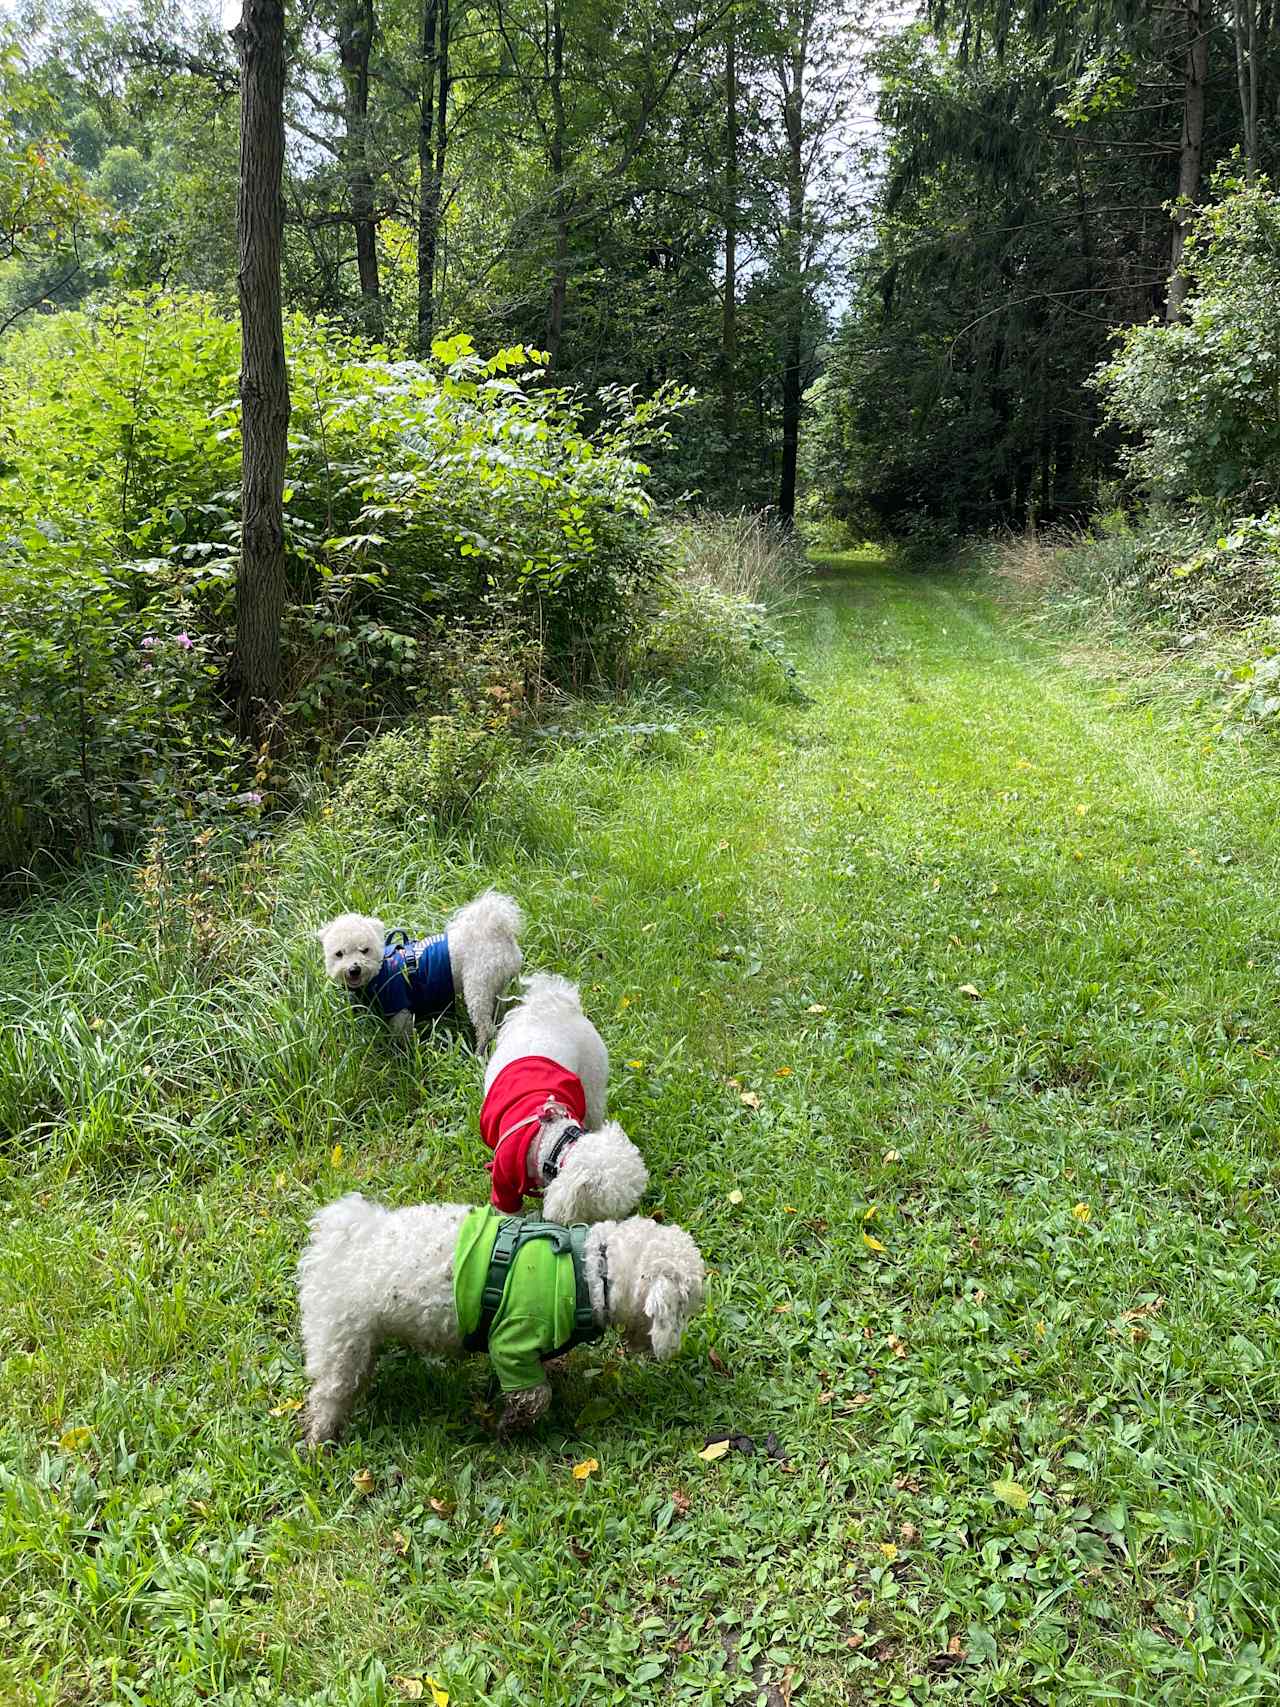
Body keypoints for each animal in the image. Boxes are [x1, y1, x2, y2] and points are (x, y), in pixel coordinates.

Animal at [296, 1194, 706, 1447]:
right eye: (686, 1308)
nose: (675, 1349)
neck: (591, 1271)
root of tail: (339, 1243)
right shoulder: (513, 1342)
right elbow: (534, 1396)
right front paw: (510, 1429)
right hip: (338, 1339)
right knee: (329, 1392)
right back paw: (321, 1437)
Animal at [320, 887, 525, 1044]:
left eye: (365, 950)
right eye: (339, 954)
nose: (354, 969)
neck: (381, 970)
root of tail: (499, 936)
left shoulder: (400, 1009)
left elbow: (401, 1037)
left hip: (478, 986)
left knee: (485, 1027)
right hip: (495, 986)